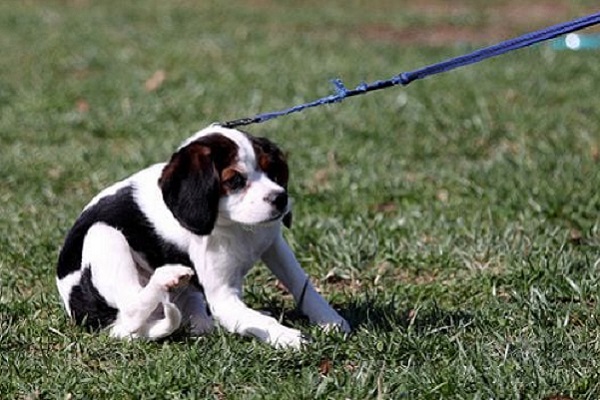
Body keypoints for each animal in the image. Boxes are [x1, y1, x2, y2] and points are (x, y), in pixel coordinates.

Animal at [56, 126, 352, 348]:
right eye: (234, 181)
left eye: (273, 171)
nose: (280, 198)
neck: (236, 226)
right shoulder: (223, 297)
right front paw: (287, 336)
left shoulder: (274, 244)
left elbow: (302, 284)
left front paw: (330, 319)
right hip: (103, 234)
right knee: (131, 307)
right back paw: (166, 278)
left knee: (198, 322)